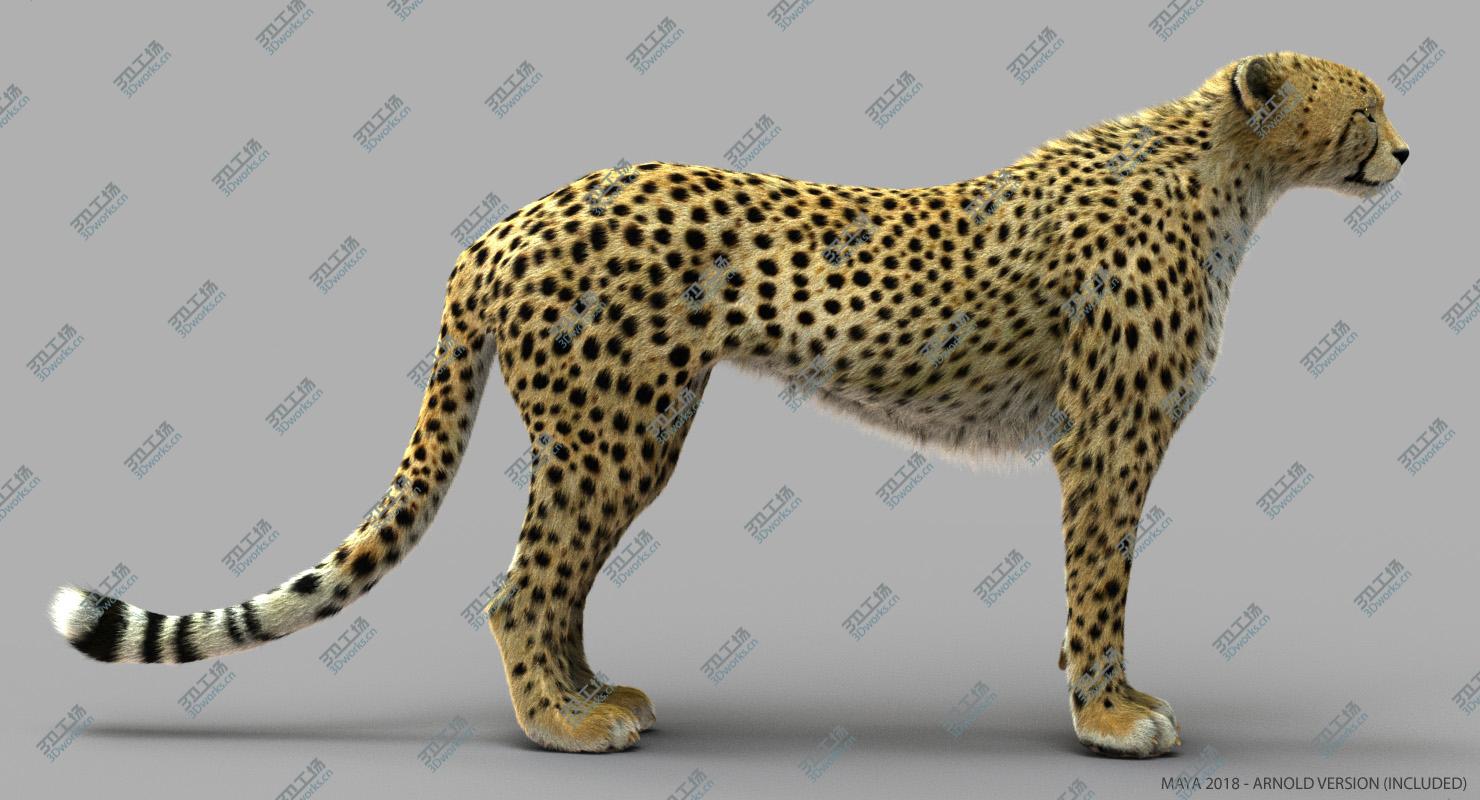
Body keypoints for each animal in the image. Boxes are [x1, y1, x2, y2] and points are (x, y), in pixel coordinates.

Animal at [50, 52, 1408, 758]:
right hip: (612, 430)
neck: (1224, 169)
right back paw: (560, 725)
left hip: (628, 433)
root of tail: (506, 220)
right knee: (518, 586)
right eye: (1368, 108)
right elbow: (1100, 587)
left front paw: (1108, 705)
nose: (1406, 154)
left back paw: (596, 693)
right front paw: (1112, 713)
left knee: (551, 581)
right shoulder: (1109, 443)